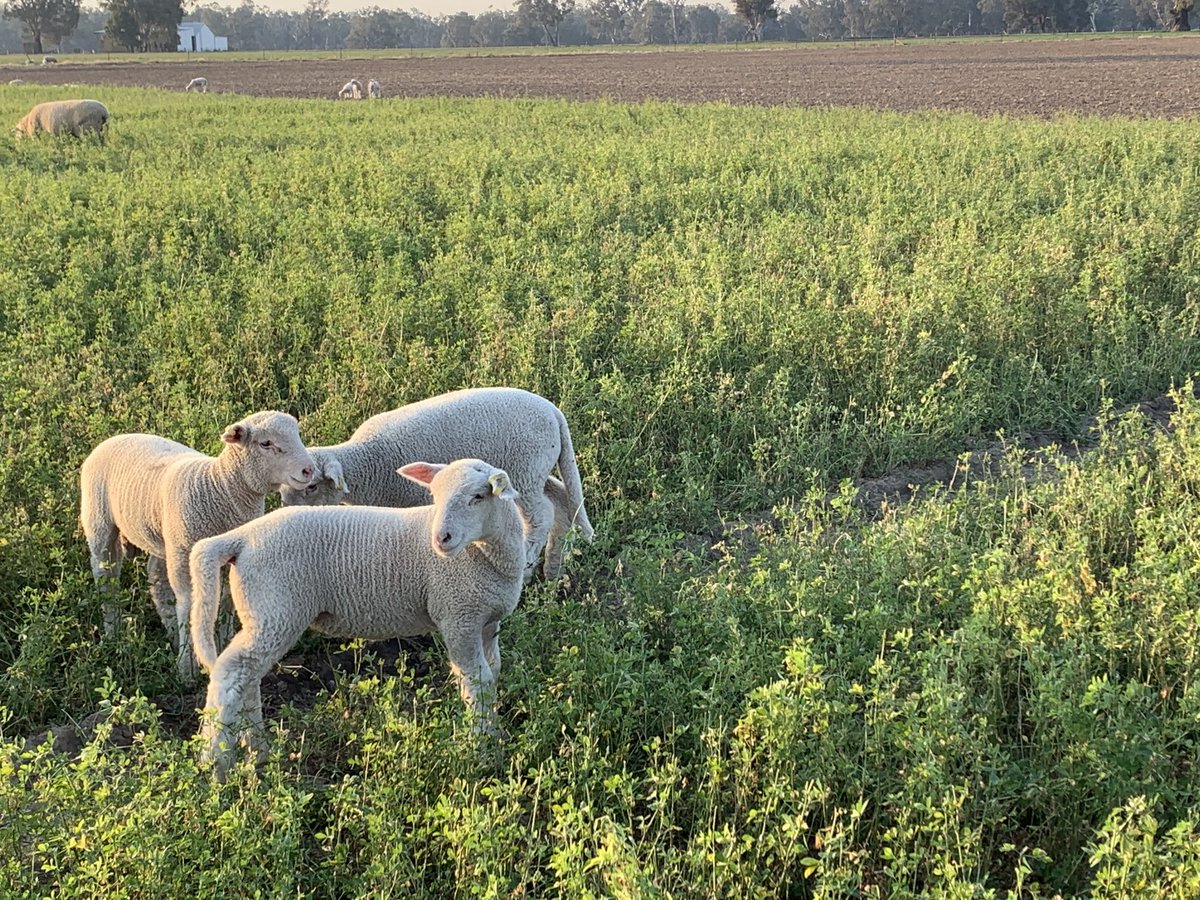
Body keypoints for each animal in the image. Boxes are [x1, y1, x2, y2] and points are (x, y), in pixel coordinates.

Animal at [80, 411, 315, 683]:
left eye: (297, 435)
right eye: (265, 443)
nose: (309, 470)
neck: (219, 487)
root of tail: (114, 437)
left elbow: (226, 600)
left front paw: (222, 644)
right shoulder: (185, 552)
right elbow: (189, 602)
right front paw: (187, 668)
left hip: (164, 538)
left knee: (157, 579)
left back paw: (171, 632)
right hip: (101, 521)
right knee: (106, 575)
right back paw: (114, 633)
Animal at [191, 458, 527, 778]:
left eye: (478, 496)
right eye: (435, 495)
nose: (441, 538)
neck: (486, 557)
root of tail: (242, 538)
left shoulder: (486, 622)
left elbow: (492, 672)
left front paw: (492, 737)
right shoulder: (458, 617)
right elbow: (478, 681)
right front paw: (482, 750)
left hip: (260, 612)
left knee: (248, 677)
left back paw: (257, 752)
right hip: (275, 609)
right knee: (231, 673)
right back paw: (217, 764)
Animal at [280, 387, 594, 581]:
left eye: (311, 487)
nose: (286, 515)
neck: (368, 461)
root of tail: (553, 411)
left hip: (526, 471)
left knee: (541, 515)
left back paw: (528, 566)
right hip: (532, 471)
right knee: (561, 499)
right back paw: (553, 570)